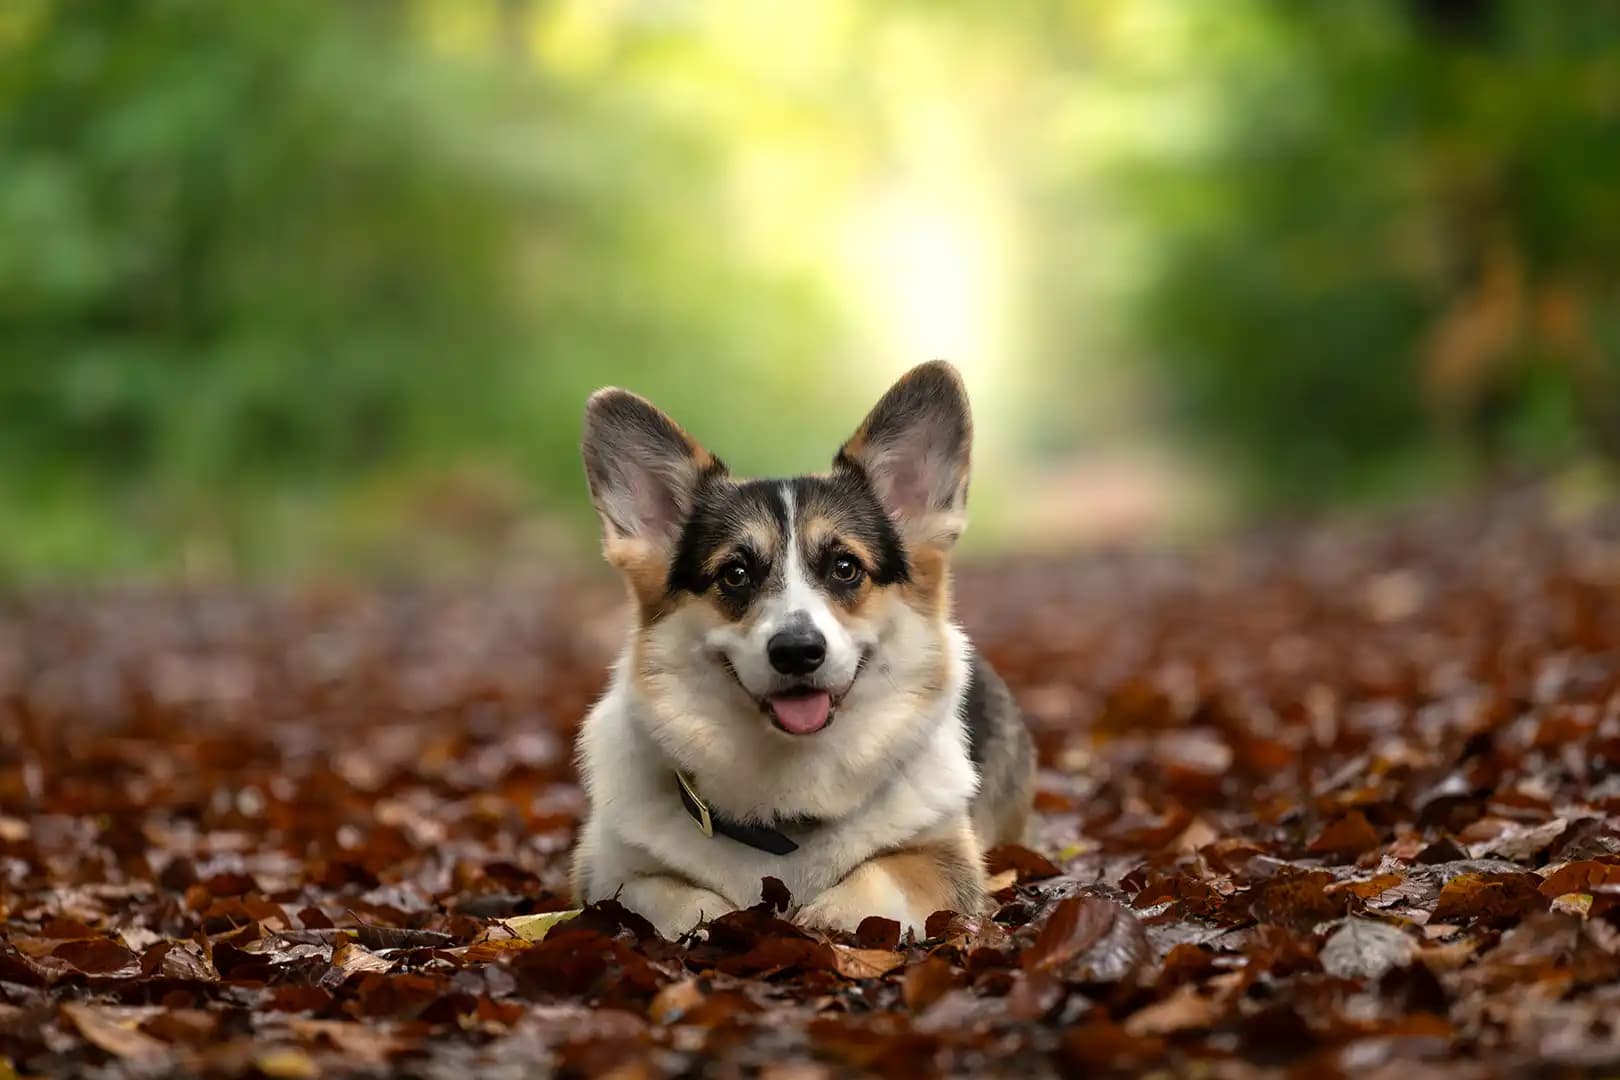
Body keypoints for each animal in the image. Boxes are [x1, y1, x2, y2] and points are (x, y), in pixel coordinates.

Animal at [570, 361, 1030, 939]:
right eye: (735, 574)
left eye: (845, 567)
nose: (796, 651)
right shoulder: (604, 874)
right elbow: (654, 893)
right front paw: (709, 917)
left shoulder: (947, 858)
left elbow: (885, 873)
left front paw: (831, 915)